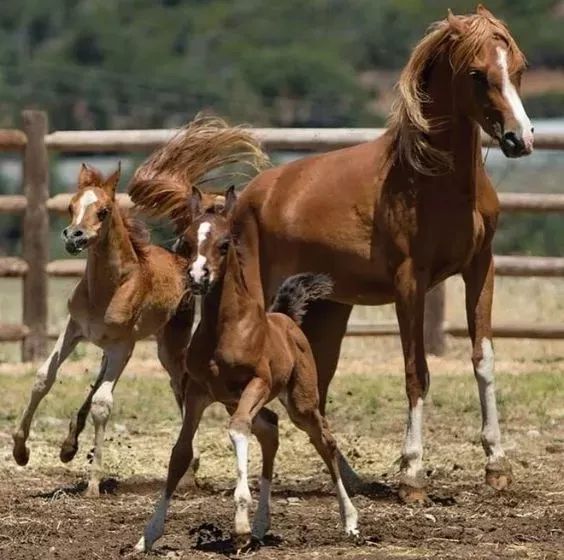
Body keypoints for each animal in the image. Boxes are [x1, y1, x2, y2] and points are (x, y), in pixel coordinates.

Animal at [135, 188, 360, 552]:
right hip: (235, 400)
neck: (225, 329)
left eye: (224, 243)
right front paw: (148, 534)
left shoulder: (258, 382)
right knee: (270, 430)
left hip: (300, 402)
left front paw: (239, 525)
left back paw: (350, 521)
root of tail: (285, 317)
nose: (198, 278)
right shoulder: (198, 391)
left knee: (323, 440)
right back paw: (260, 525)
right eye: (186, 242)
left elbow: (238, 429)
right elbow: (180, 453)